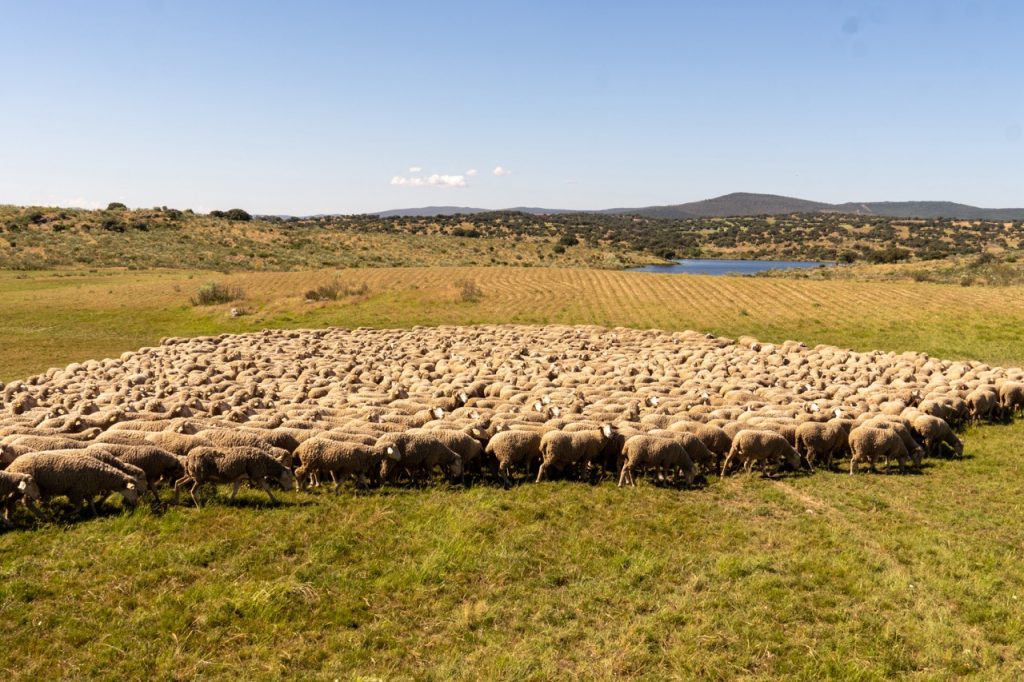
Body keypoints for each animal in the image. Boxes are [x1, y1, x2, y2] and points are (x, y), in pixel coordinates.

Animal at [6, 453, 139, 516]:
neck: (101, 475)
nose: (135, 503)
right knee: (26, 502)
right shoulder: (76, 491)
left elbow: (91, 503)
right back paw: (43, 517)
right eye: (133, 490)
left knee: (11, 500)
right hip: (30, 488)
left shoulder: (85, 489)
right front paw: (68, 514)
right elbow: (78, 507)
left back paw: (9, 517)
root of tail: (13, 464)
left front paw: (95, 514)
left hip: (21, 488)